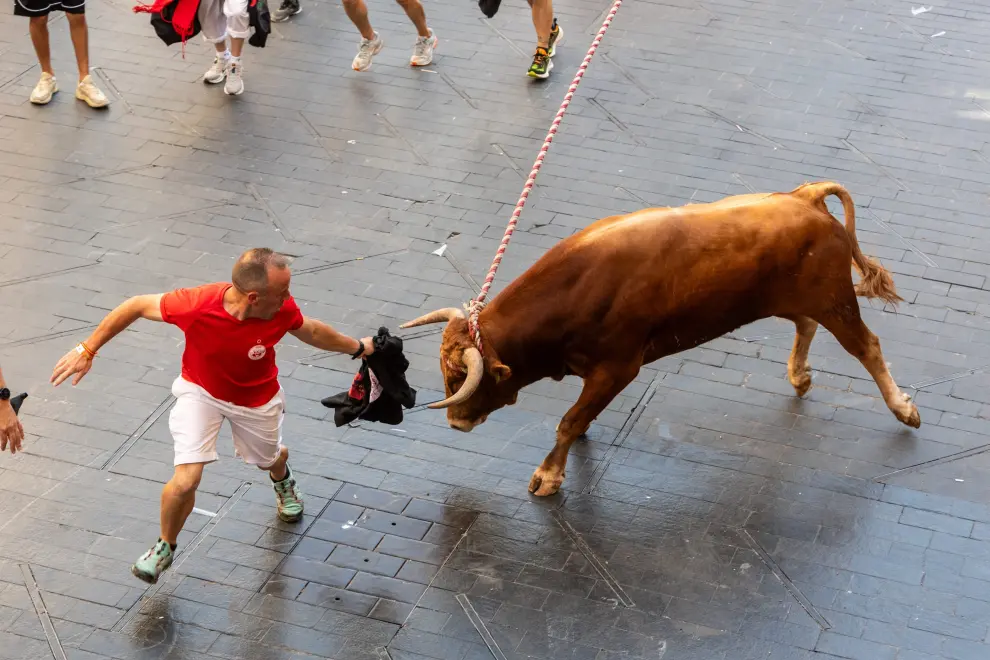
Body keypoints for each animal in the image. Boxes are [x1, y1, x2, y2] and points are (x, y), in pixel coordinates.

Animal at [402, 180, 924, 496]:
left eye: (462, 378)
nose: (455, 423)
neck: (579, 286)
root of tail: (805, 196)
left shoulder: (619, 367)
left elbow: (568, 422)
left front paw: (548, 475)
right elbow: (578, 417)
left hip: (835, 300)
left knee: (867, 347)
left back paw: (903, 409)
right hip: (794, 299)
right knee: (805, 324)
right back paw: (800, 376)